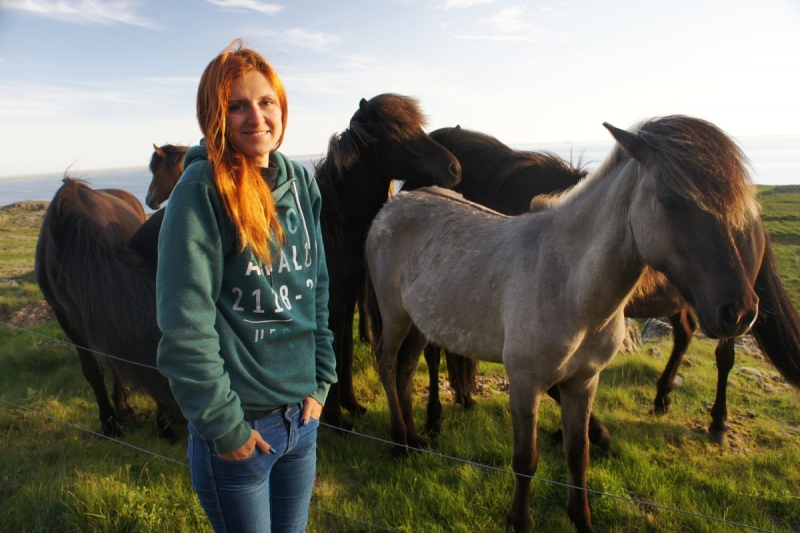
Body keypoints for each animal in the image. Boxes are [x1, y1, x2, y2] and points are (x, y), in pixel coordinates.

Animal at [314, 93, 462, 428]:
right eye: (397, 134)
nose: (454, 168)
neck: (332, 226)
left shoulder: (346, 299)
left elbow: (343, 351)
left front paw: (350, 405)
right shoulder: (331, 302)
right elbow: (332, 351)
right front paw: (335, 418)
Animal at [366, 117, 760, 532]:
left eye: (731, 208)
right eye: (671, 201)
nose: (739, 310)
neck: (568, 280)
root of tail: (393, 206)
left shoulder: (583, 383)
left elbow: (577, 456)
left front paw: (581, 519)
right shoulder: (525, 383)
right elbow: (526, 461)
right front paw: (518, 521)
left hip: (419, 323)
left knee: (405, 371)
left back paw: (414, 438)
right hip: (395, 316)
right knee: (387, 364)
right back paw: (398, 443)